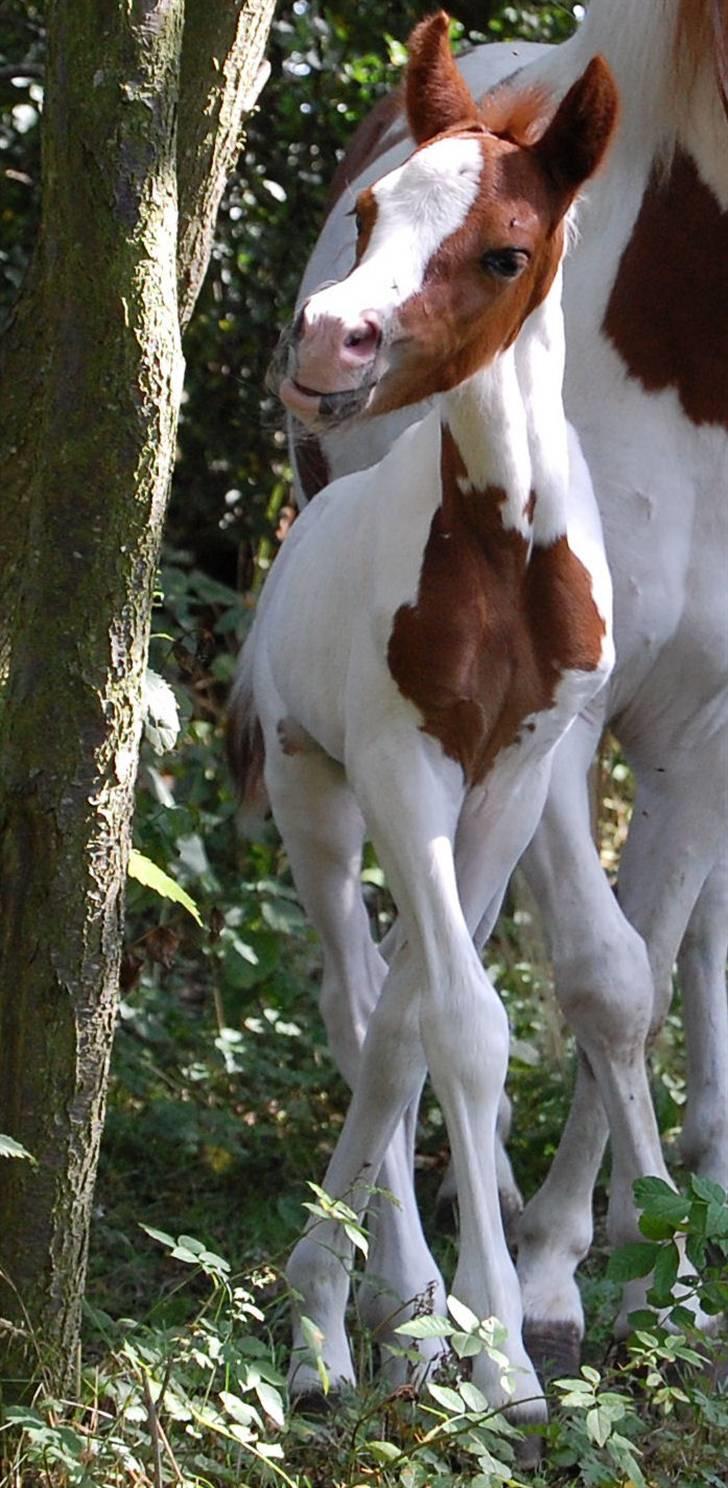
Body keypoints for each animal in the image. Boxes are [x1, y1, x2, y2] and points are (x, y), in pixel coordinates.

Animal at [229, 17, 616, 1422]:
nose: (324, 346)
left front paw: (450, 1329)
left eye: (503, 248)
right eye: (371, 209)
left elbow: (426, 1023)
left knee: (381, 1006)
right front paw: (480, 1349)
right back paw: (349, 1327)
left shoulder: (513, 775)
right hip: (312, 794)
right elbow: (447, 1023)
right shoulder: (401, 763)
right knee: (352, 994)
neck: (500, 549)